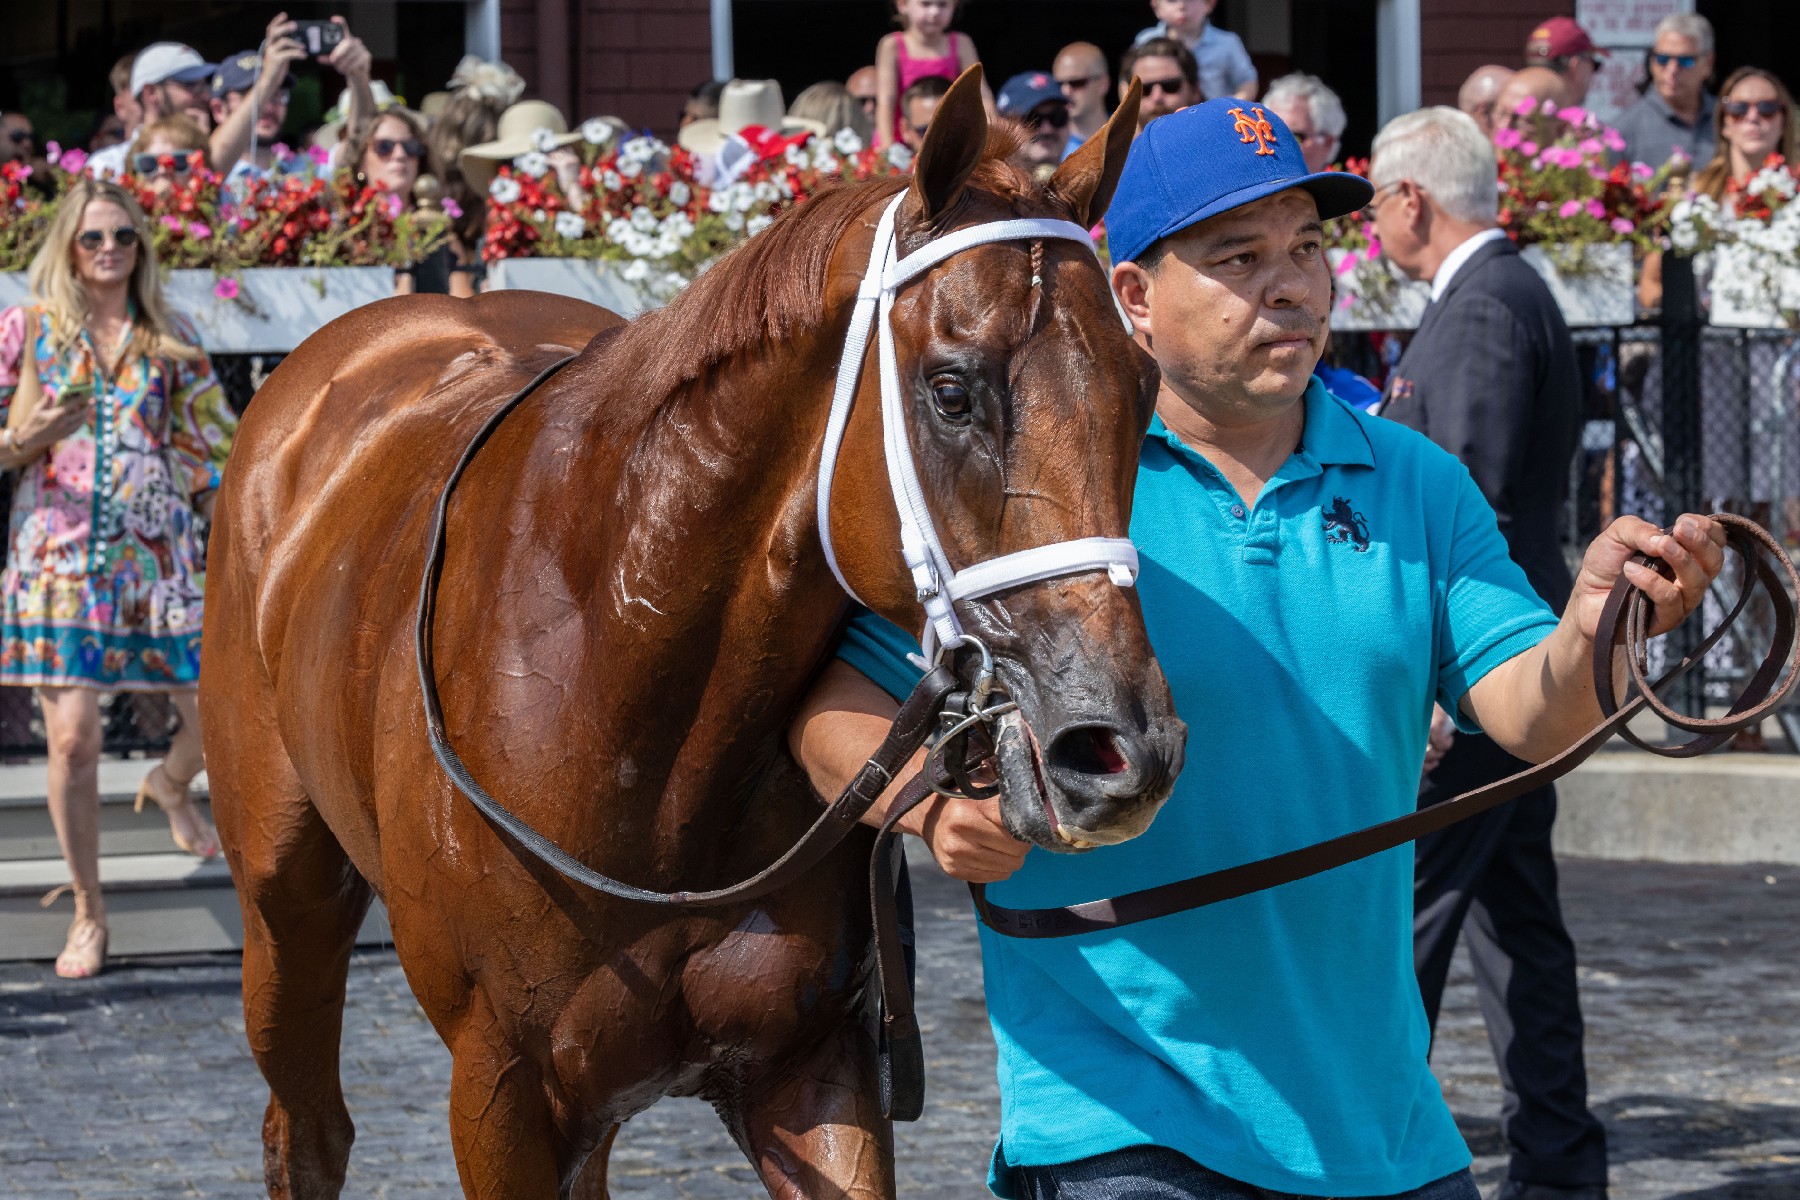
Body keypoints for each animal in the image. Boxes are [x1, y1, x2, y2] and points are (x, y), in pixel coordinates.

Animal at [200, 70, 1183, 1199]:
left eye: (1145, 388)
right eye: (951, 390)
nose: (1119, 748)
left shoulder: (812, 1066)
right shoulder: (500, 1096)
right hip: (285, 901)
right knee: (308, 1127)